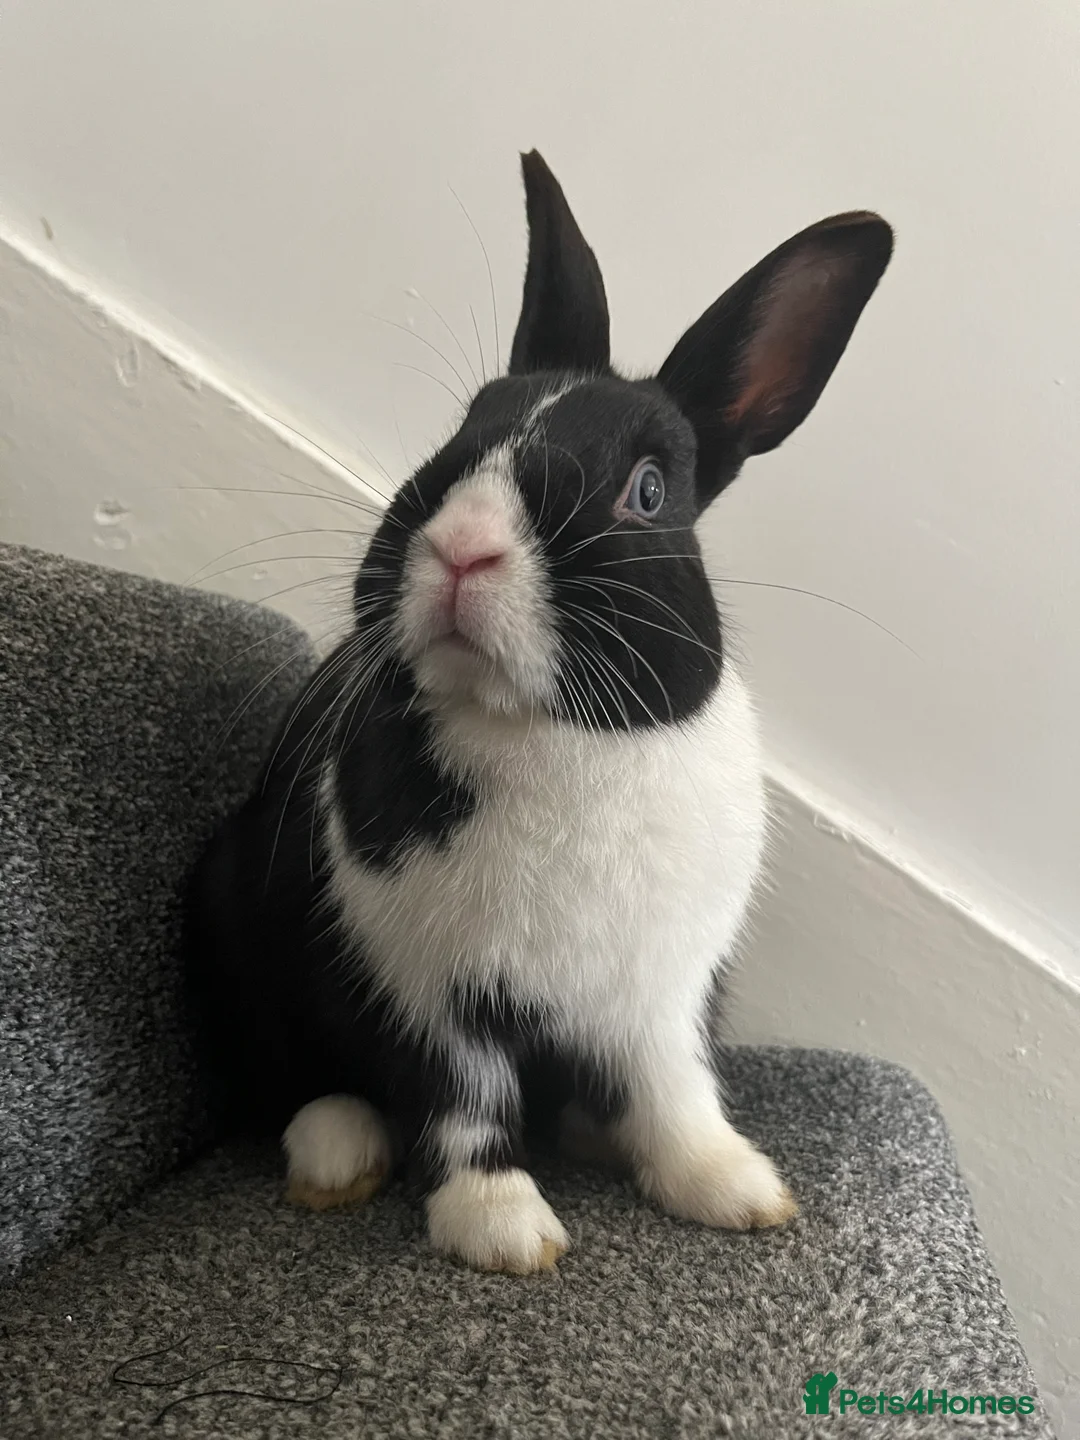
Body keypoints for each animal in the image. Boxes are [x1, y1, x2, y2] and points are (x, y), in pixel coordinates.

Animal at [184, 150, 892, 1274]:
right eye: (461, 436)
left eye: (648, 490)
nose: (462, 547)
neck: (549, 731)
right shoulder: (429, 991)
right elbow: (465, 1103)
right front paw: (504, 1231)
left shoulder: (663, 994)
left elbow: (677, 1094)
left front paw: (736, 1192)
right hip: (233, 914)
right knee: (291, 1076)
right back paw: (338, 1153)